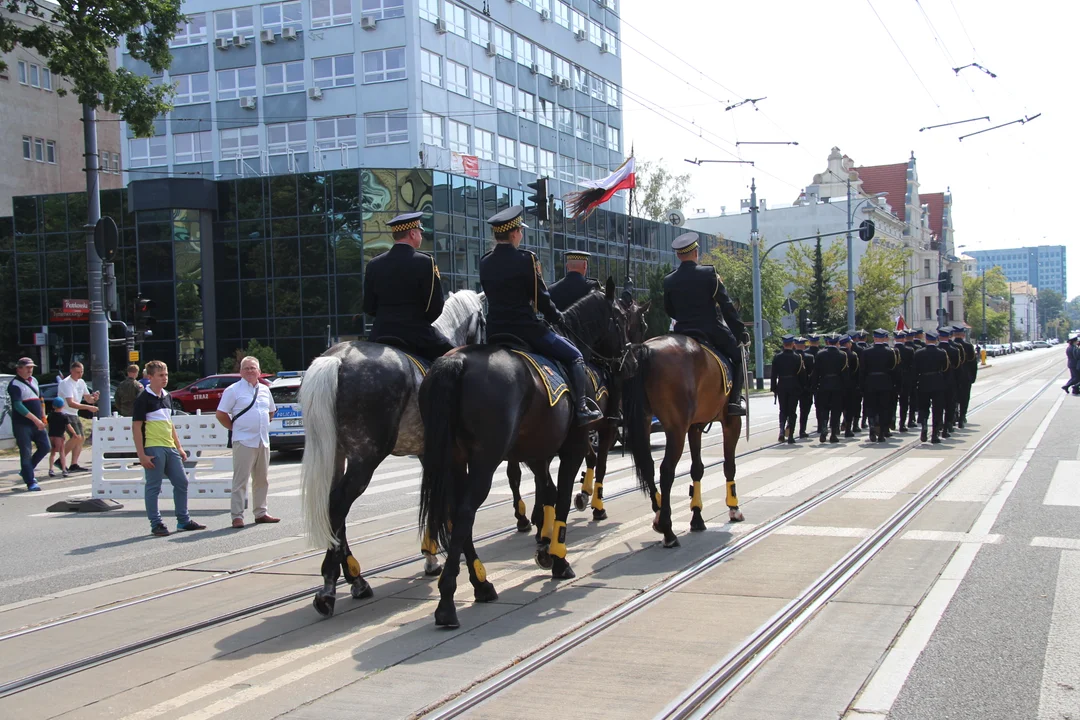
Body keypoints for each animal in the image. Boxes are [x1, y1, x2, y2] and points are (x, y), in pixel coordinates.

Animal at [304, 289, 490, 617]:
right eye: (483, 319)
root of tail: (338, 358)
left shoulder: (428, 456)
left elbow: (433, 504)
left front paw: (431, 557)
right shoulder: (445, 457)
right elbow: (447, 507)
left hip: (337, 454)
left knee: (333, 507)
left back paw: (355, 579)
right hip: (366, 457)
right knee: (339, 503)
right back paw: (329, 586)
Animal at [414, 280, 630, 630]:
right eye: (622, 319)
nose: (628, 361)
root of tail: (456, 363)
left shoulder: (538, 451)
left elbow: (548, 492)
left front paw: (544, 543)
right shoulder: (572, 447)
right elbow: (562, 496)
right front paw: (558, 558)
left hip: (453, 460)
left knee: (455, 513)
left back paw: (482, 584)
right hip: (484, 461)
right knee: (464, 512)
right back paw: (447, 602)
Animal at [505, 295, 648, 537]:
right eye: (640, 325)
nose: (632, 363)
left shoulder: (579, 432)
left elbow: (589, 458)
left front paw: (582, 493)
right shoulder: (606, 428)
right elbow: (600, 464)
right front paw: (596, 504)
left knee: (527, 474)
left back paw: (535, 517)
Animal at [622, 334, 747, 548]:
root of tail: (646, 349)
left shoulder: (695, 426)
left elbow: (697, 469)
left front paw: (697, 517)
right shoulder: (732, 422)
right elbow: (729, 465)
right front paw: (733, 507)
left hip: (645, 421)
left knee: (648, 466)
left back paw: (659, 517)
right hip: (676, 429)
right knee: (666, 471)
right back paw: (668, 530)